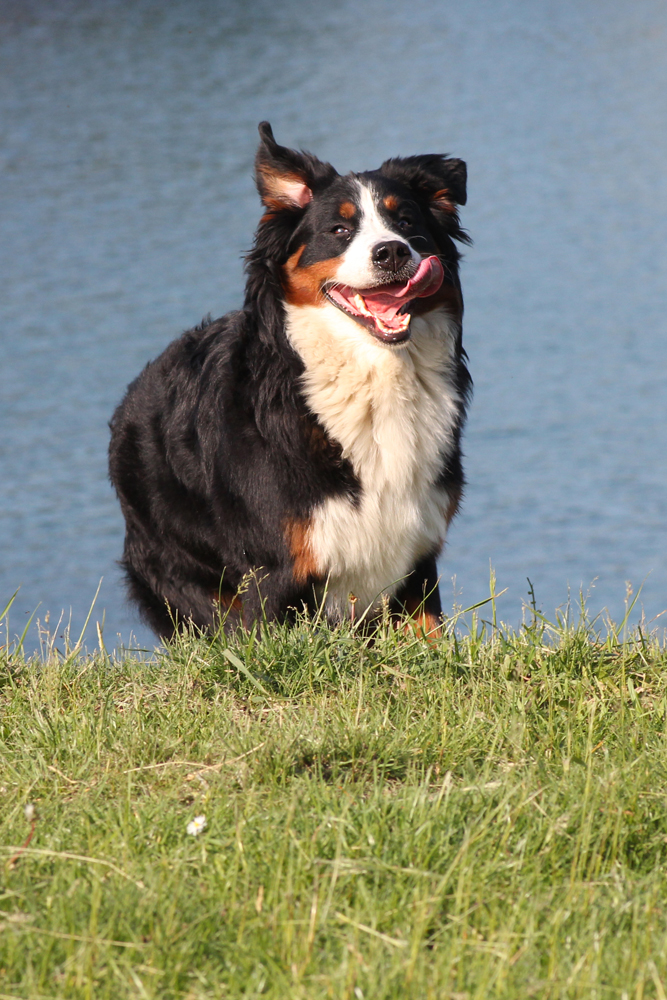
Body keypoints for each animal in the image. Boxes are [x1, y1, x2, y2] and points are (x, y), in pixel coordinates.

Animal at [109, 123, 472, 640]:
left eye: (406, 222)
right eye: (339, 230)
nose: (392, 252)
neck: (374, 374)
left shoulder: (416, 556)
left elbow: (431, 637)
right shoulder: (273, 571)